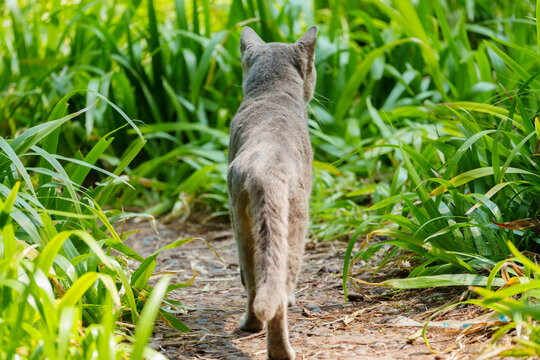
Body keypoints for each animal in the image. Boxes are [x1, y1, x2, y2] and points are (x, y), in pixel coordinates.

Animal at [227, 26, 316, 360]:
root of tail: (266, 172)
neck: (272, 94)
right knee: (276, 286)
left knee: (255, 278)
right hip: (292, 225)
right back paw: (279, 349)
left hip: (242, 221)